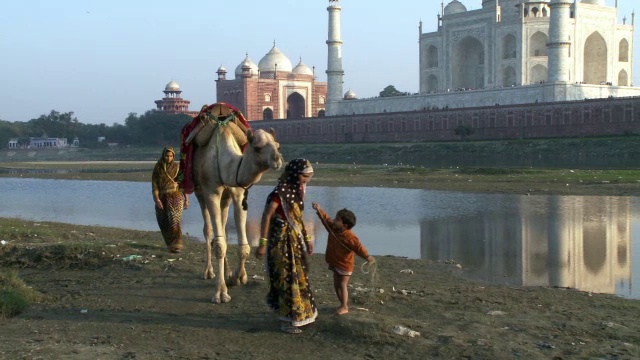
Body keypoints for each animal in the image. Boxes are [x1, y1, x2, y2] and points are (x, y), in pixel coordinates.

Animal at [186, 102, 284, 302]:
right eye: (257, 147)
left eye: (277, 144)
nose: (277, 160)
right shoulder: (211, 192)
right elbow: (219, 244)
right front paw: (220, 293)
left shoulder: (238, 194)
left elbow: (244, 245)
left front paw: (239, 277)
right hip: (200, 192)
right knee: (209, 230)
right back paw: (209, 271)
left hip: (225, 199)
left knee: (222, 229)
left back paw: (228, 272)